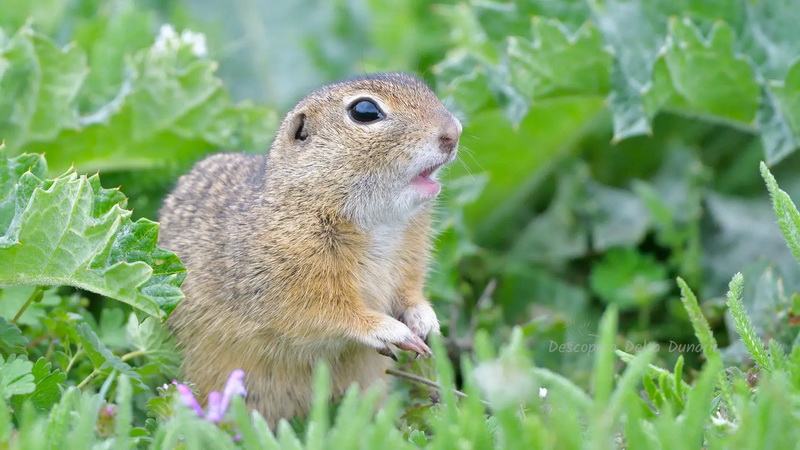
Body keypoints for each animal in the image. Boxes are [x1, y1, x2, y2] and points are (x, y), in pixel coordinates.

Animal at [159, 73, 462, 426]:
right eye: (365, 111)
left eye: (418, 82)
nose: (453, 132)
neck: (379, 222)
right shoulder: (291, 280)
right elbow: (330, 314)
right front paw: (390, 330)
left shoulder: (410, 259)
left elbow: (410, 293)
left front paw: (426, 321)